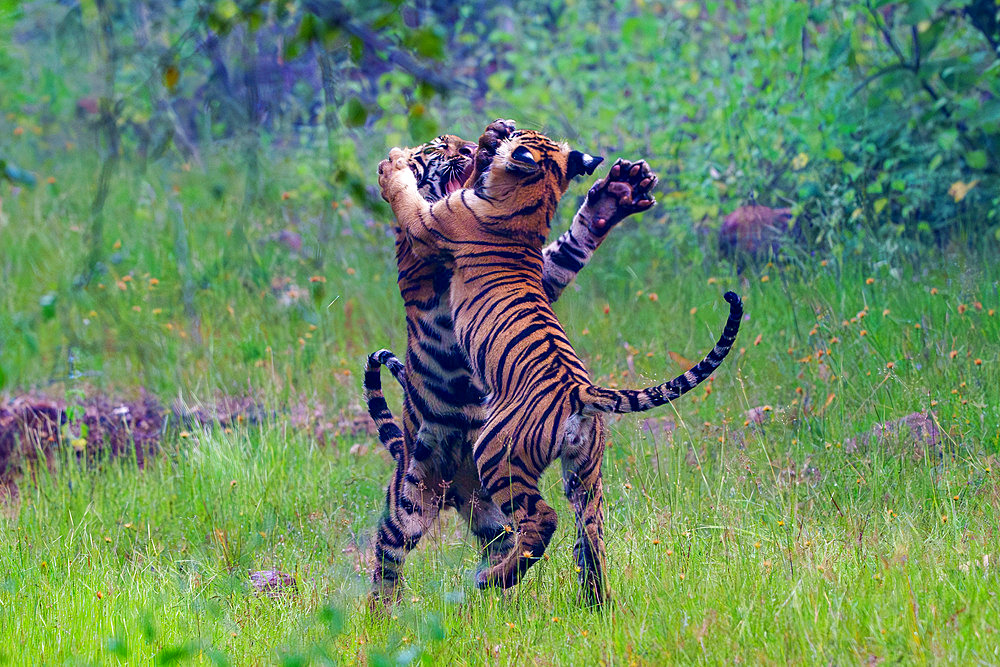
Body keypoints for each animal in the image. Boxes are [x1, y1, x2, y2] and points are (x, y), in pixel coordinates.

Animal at [378, 126, 748, 604]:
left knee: (538, 522)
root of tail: (580, 393)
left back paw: (489, 580)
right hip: (581, 474)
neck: (529, 203)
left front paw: (394, 165)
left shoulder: (428, 227)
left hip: (492, 457)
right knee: (589, 535)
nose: (466, 143)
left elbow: (407, 199)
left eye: (442, 145)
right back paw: (592, 601)